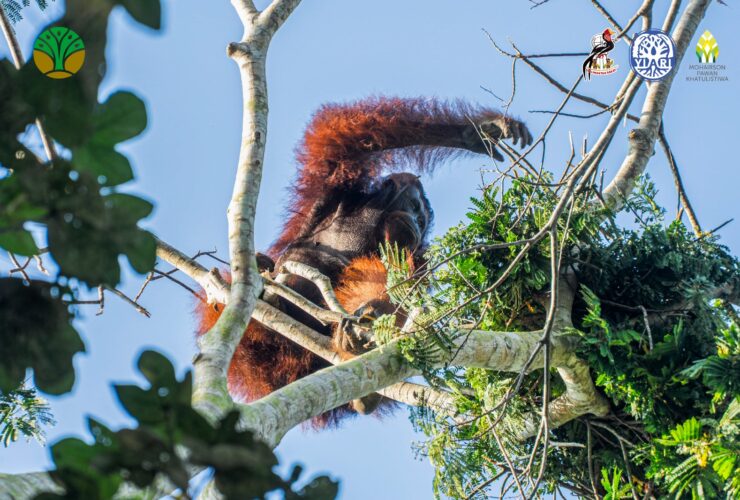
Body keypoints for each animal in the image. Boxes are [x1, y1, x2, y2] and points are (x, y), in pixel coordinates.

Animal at [195, 96, 533, 424]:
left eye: (423, 220)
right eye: (415, 208)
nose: (415, 223)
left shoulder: (416, 254)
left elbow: (401, 285)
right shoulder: (336, 189)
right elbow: (349, 138)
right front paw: (479, 131)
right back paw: (274, 292)